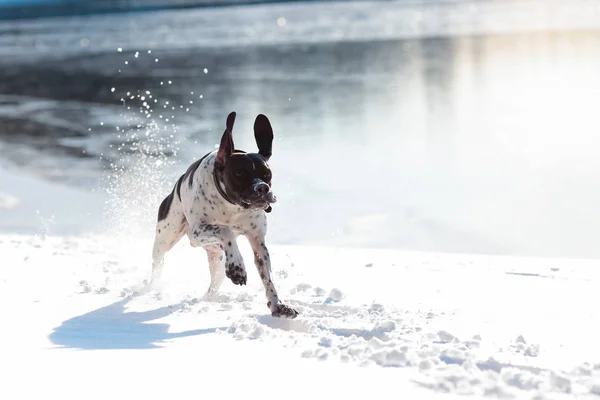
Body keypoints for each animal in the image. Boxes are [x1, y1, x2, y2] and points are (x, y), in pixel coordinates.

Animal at [150, 111, 300, 318]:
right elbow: (225, 231)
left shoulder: (258, 242)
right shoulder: (196, 232)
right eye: (239, 173)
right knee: (158, 263)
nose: (262, 188)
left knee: (216, 278)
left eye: (267, 174)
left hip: (214, 257)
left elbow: (268, 276)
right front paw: (238, 268)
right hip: (167, 237)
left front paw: (278, 305)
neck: (232, 207)